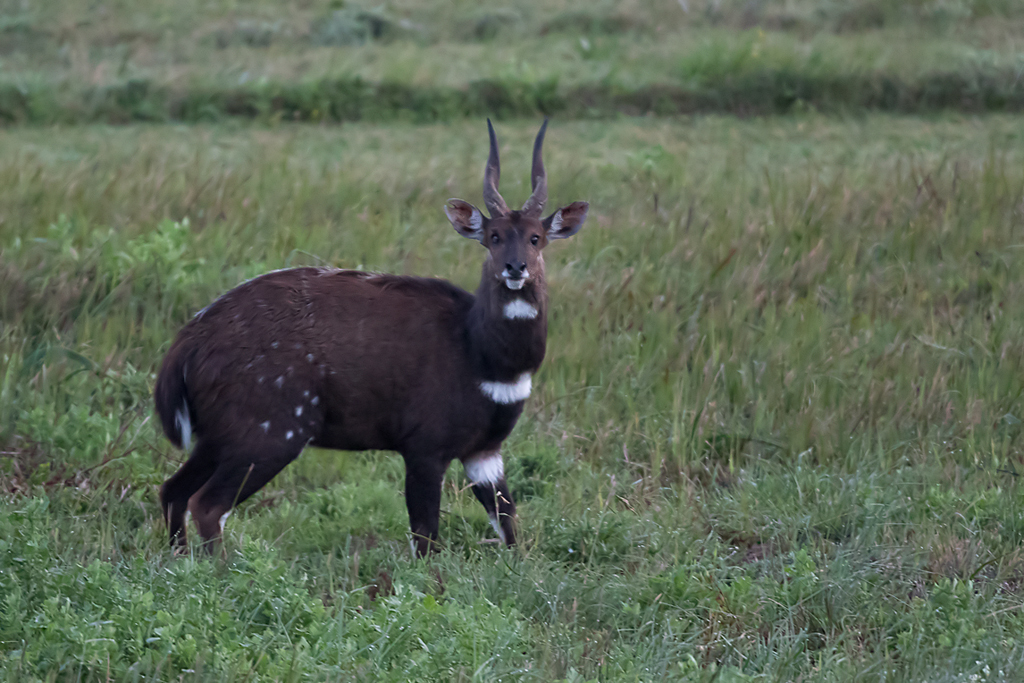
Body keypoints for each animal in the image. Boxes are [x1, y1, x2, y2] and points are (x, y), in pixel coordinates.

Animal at [149, 120, 585, 557]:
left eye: (535, 237)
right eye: (493, 236)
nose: (515, 268)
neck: (479, 352)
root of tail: (188, 342)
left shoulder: (484, 452)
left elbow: (509, 525)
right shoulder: (425, 448)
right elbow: (426, 537)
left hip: (217, 438)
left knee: (172, 490)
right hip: (268, 435)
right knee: (206, 504)